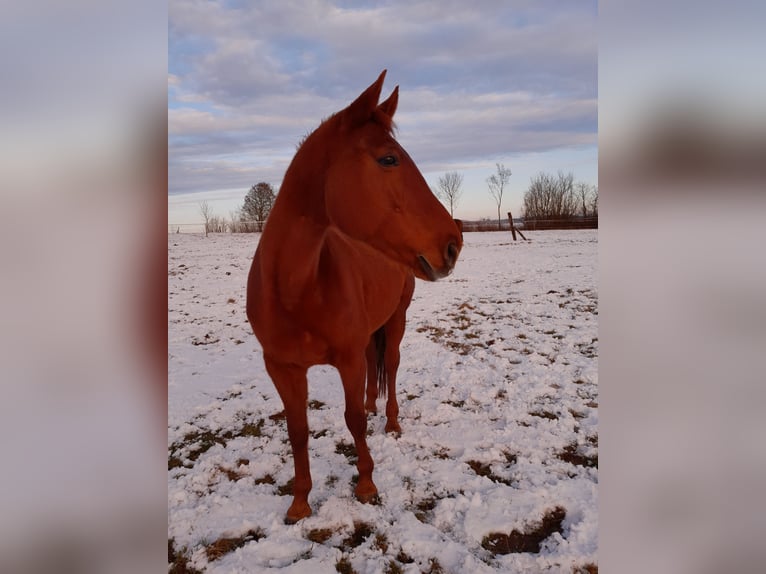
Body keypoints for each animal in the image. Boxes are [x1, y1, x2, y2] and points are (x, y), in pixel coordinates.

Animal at [246, 71, 462, 524]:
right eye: (388, 159)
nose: (453, 244)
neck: (296, 290)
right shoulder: (281, 367)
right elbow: (298, 431)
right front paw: (299, 502)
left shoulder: (345, 359)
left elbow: (353, 421)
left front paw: (365, 484)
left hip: (397, 320)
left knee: (391, 366)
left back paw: (392, 422)